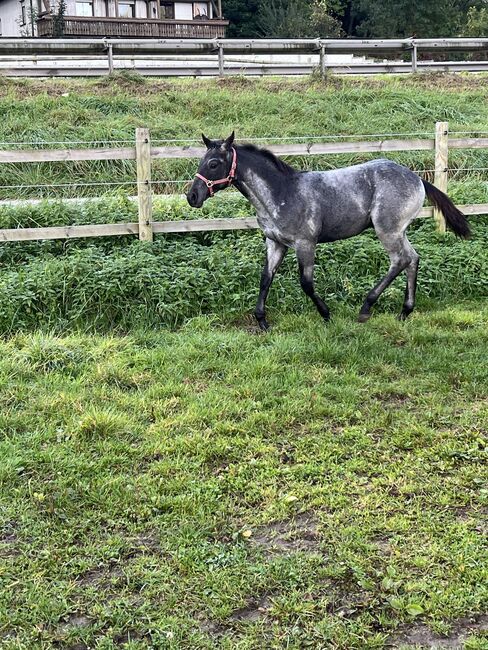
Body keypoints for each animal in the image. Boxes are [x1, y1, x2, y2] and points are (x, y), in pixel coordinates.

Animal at [187, 134, 468, 332]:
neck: (281, 193)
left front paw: (326, 314)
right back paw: (404, 311)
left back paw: (366, 307)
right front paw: (262, 322)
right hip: (399, 231)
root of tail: (418, 179)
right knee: (413, 258)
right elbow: (266, 278)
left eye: (213, 163)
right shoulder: (275, 243)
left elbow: (306, 283)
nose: (192, 196)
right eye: (201, 161)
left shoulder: (305, 243)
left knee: (400, 260)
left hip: (387, 230)